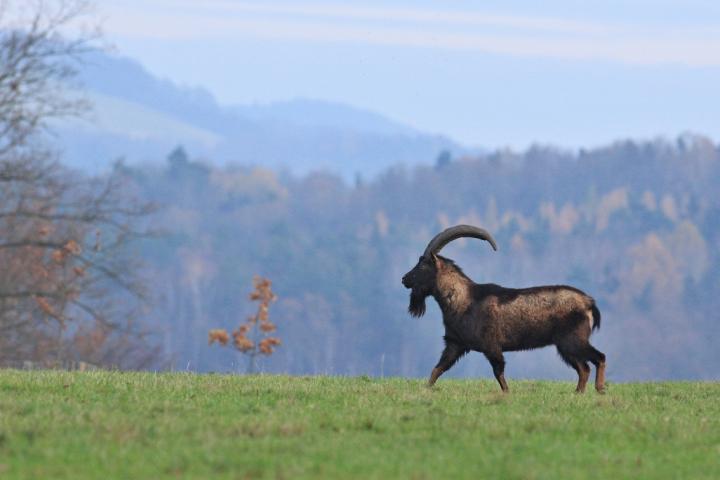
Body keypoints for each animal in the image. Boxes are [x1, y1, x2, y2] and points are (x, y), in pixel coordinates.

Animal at [402, 225, 604, 394]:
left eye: (422, 265)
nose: (404, 279)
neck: (465, 300)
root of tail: (589, 302)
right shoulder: (455, 343)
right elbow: (438, 368)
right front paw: (426, 389)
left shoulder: (491, 345)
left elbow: (498, 372)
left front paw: (507, 393)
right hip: (566, 346)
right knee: (584, 368)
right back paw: (578, 393)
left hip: (573, 340)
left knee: (598, 358)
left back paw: (599, 388)